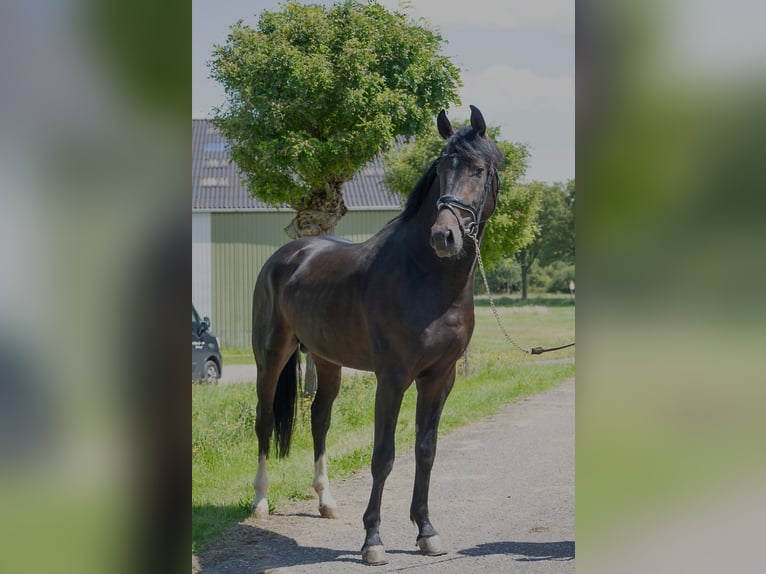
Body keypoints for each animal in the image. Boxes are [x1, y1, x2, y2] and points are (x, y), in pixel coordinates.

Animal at [250, 107, 504, 568]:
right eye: (441, 168)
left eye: (478, 169)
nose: (444, 236)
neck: (425, 276)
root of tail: (287, 256)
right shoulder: (392, 378)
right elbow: (383, 456)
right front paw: (372, 540)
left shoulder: (440, 378)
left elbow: (426, 450)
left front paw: (426, 532)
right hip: (271, 355)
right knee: (264, 420)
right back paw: (260, 501)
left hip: (327, 360)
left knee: (320, 419)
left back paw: (326, 501)